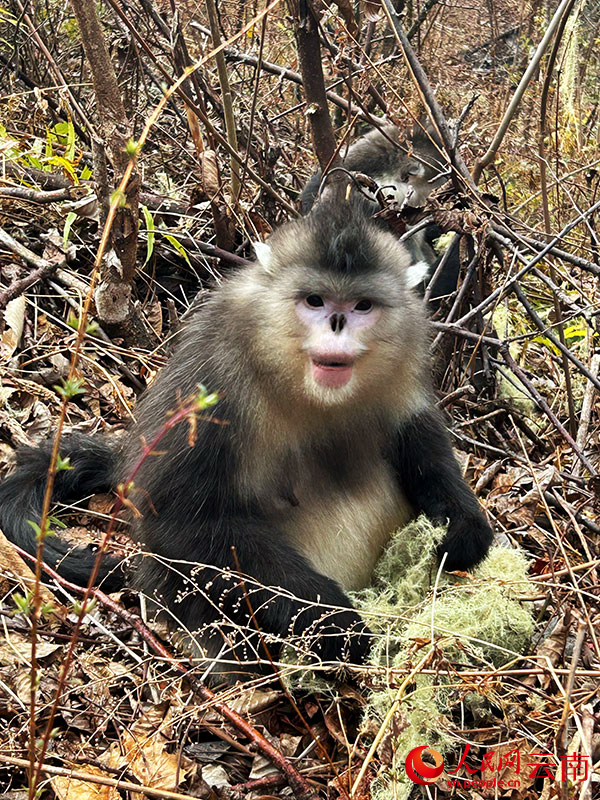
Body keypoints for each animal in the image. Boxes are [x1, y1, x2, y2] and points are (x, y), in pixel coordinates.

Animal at [0, 189, 493, 680]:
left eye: (362, 306)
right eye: (315, 300)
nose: (336, 326)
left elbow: (419, 436)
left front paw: (464, 529)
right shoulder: (216, 371)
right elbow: (179, 520)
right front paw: (336, 621)